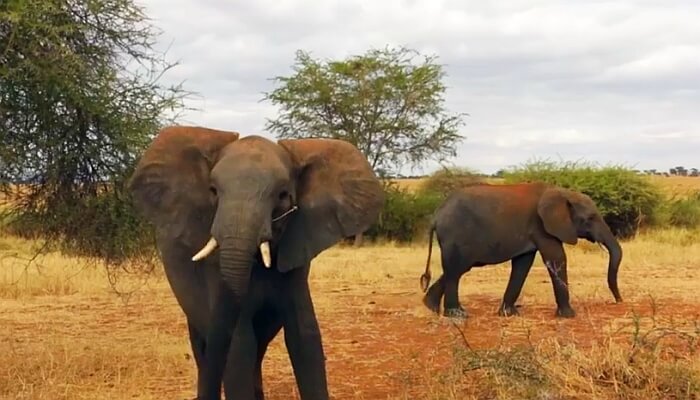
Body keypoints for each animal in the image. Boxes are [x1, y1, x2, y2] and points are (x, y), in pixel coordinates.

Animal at [422, 183, 624, 320]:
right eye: (590, 218)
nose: (619, 301)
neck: (562, 192)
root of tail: (436, 215)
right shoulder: (541, 226)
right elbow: (556, 258)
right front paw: (568, 316)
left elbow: (522, 264)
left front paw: (508, 314)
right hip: (456, 235)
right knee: (456, 269)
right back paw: (457, 315)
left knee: (455, 269)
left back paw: (431, 307)